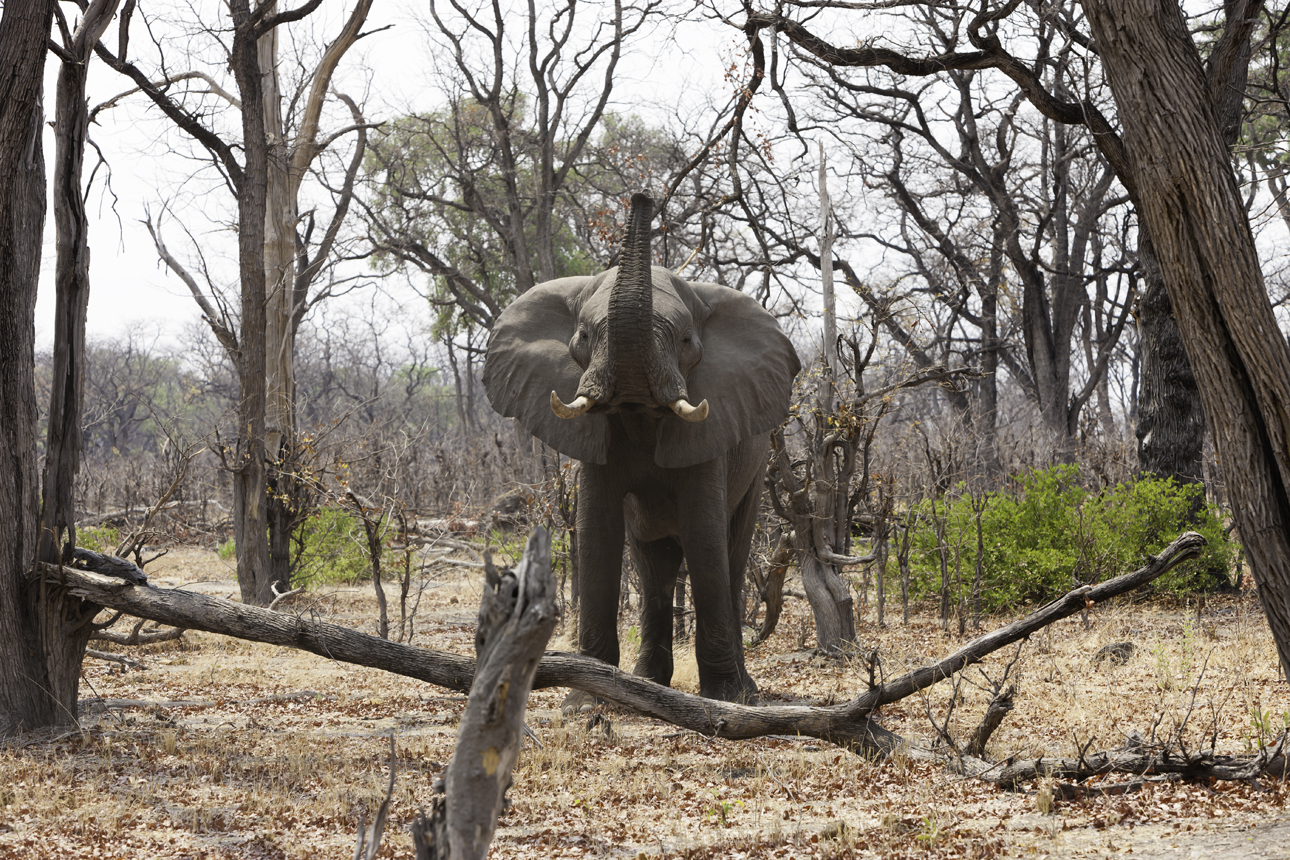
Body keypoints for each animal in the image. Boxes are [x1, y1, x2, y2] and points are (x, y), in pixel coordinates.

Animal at [482, 193, 800, 705]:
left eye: (686, 340)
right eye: (584, 337)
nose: (642, 197)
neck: (638, 412)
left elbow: (704, 536)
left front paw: (723, 697)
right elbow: (597, 533)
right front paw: (586, 698)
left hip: (757, 468)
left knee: (730, 555)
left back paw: (743, 692)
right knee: (654, 565)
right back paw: (648, 682)